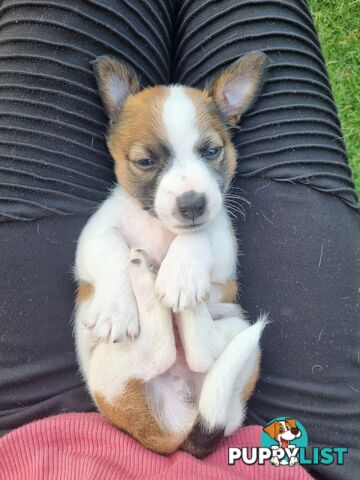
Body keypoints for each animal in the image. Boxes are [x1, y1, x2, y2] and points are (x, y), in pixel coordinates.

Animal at [74, 52, 268, 458]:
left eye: (211, 151)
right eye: (145, 161)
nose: (192, 203)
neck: (161, 229)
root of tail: (178, 433)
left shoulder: (223, 243)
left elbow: (199, 235)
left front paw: (181, 273)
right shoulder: (94, 235)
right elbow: (111, 250)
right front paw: (116, 308)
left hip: (235, 326)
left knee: (195, 350)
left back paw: (156, 280)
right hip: (108, 370)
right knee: (164, 348)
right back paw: (143, 273)